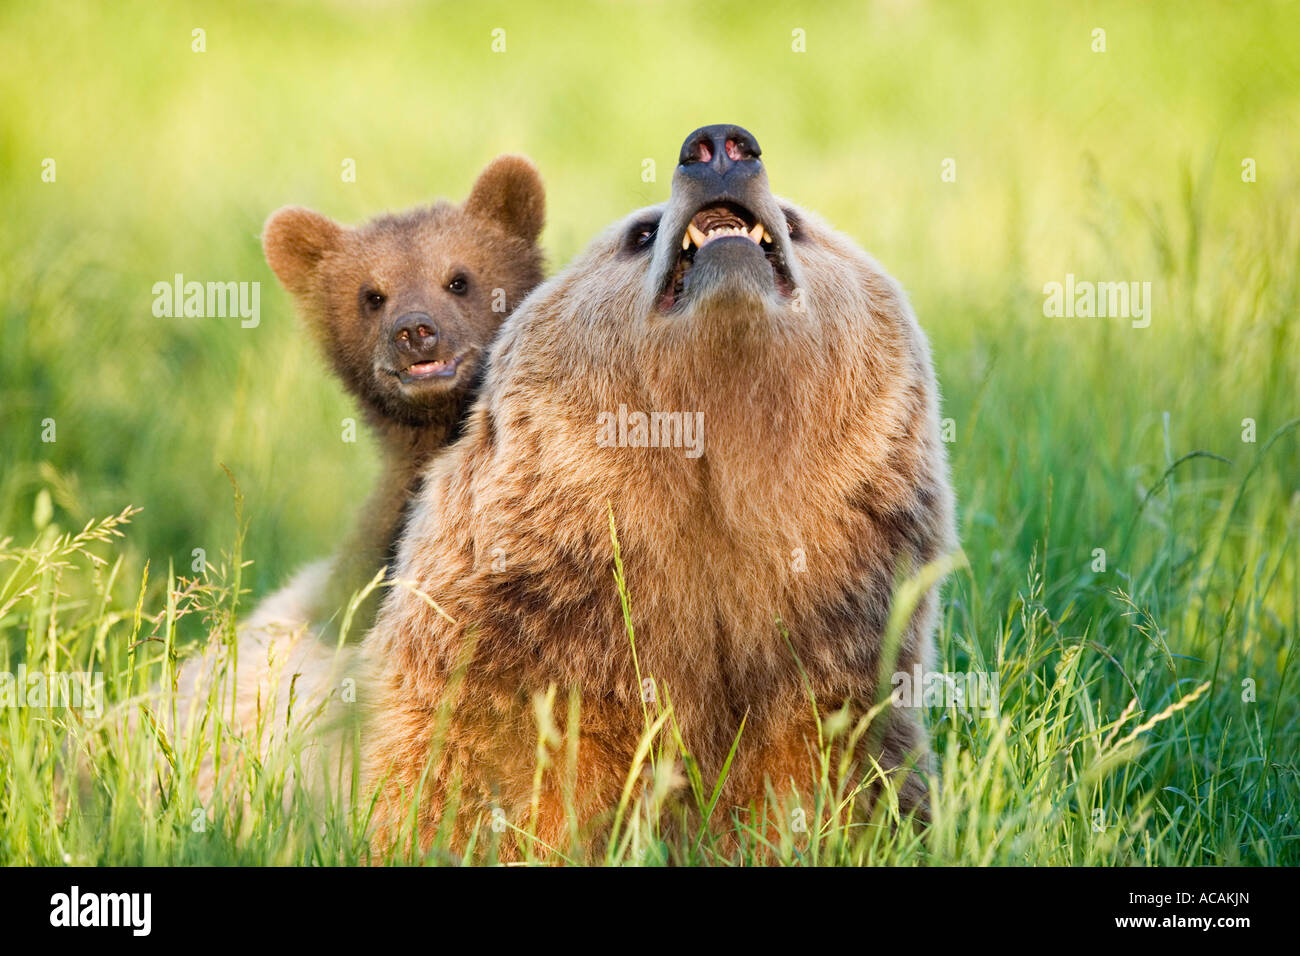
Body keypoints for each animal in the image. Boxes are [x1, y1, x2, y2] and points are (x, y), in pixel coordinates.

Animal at [357, 125, 957, 859]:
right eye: (640, 233)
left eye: (797, 224)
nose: (720, 146)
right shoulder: (523, 642)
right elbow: (472, 773)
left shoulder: (833, 642)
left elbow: (840, 770)